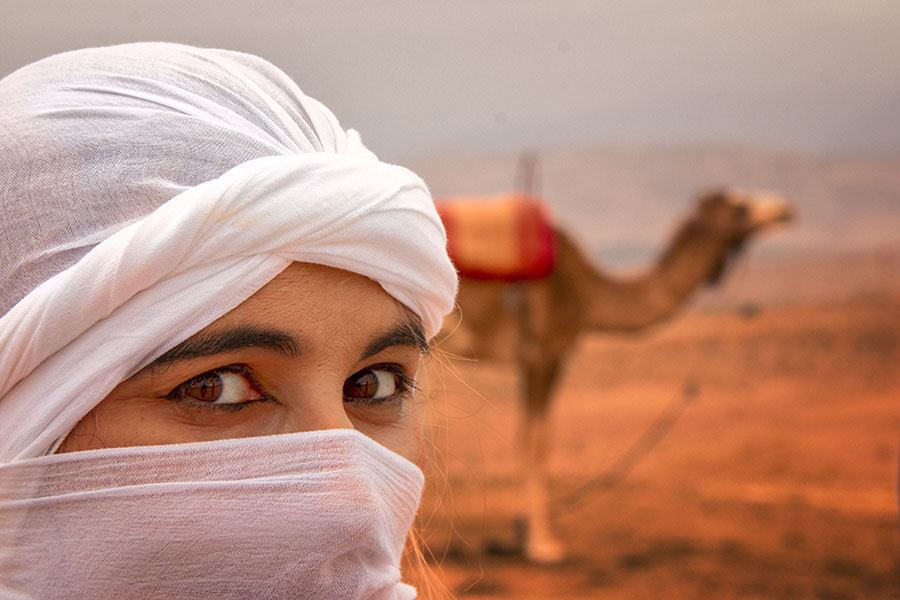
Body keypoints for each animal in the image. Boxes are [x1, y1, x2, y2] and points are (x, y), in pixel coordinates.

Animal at [436, 187, 793, 563]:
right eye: (740, 205)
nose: (786, 210)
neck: (589, 292)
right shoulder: (544, 352)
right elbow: (536, 442)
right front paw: (540, 544)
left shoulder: (537, 358)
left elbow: (534, 438)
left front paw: (523, 535)